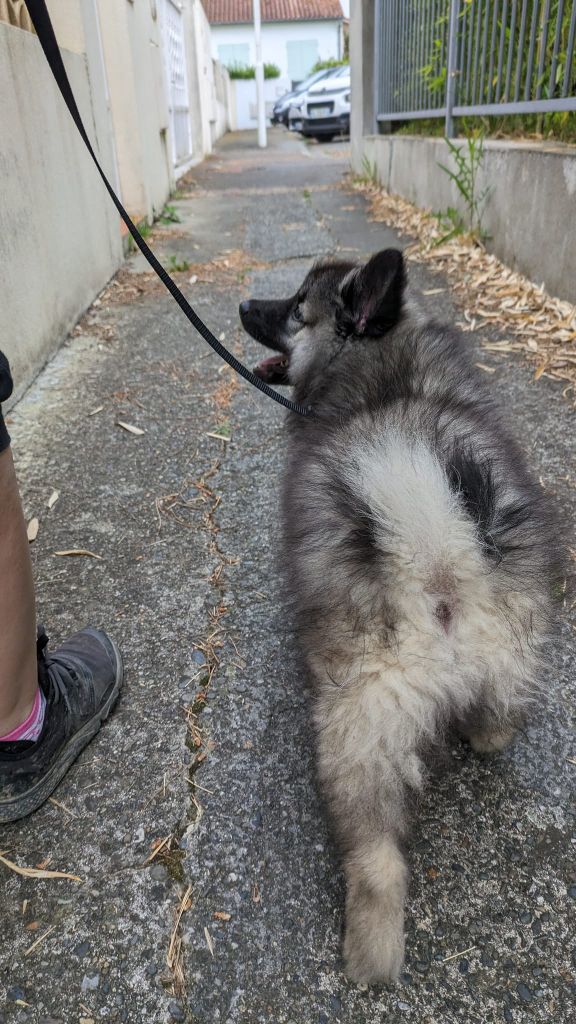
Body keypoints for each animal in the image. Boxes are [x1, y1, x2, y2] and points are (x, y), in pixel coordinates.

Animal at [237, 247, 561, 983]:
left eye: (294, 308)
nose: (242, 305)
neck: (387, 378)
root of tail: (436, 556)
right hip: (515, 651)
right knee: (499, 720)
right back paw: (483, 735)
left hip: (356, 729)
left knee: (377, 859)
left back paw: (368, 955)